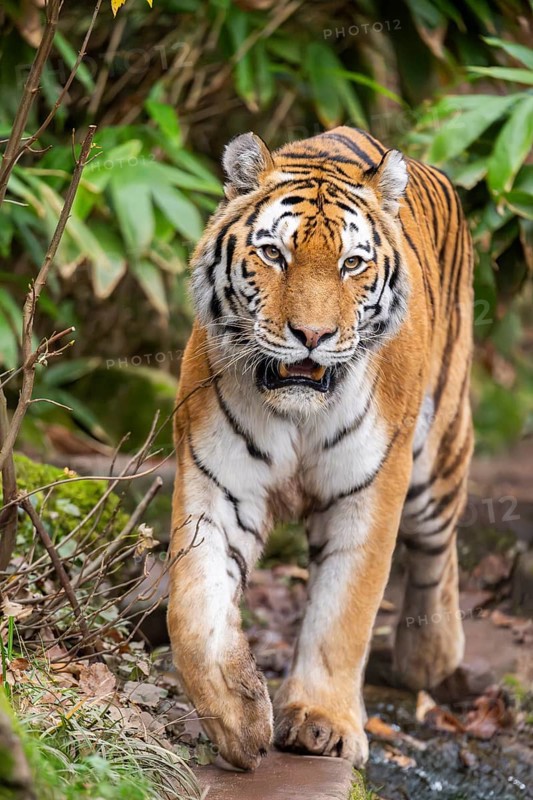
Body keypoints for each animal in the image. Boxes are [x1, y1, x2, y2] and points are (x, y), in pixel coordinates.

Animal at [167, 126, 474, 771]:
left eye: (351, 263)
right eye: (274, 255)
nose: (312, 335)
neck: (297, 413)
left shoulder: (371, 491)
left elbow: (344, 613)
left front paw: (322, 723)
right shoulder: (217, 482)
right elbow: (193, 609)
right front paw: (240, 718)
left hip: (436, 457)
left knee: (439, 544)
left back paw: (429, 655)